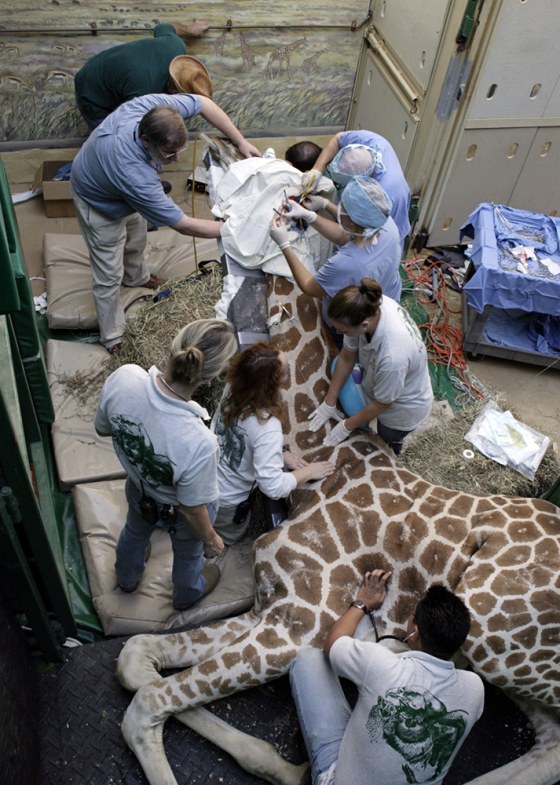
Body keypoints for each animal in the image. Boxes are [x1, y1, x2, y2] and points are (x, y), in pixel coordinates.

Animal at [117, 277, 560, 785]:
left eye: (233, 297)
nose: (181, 351)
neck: (319, 458)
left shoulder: (300, 624)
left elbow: (144, 705)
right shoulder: (271, 609)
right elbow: (135, 658)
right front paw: (283, 767)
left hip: (492, 632)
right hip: (505, 655)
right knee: (551, 742)